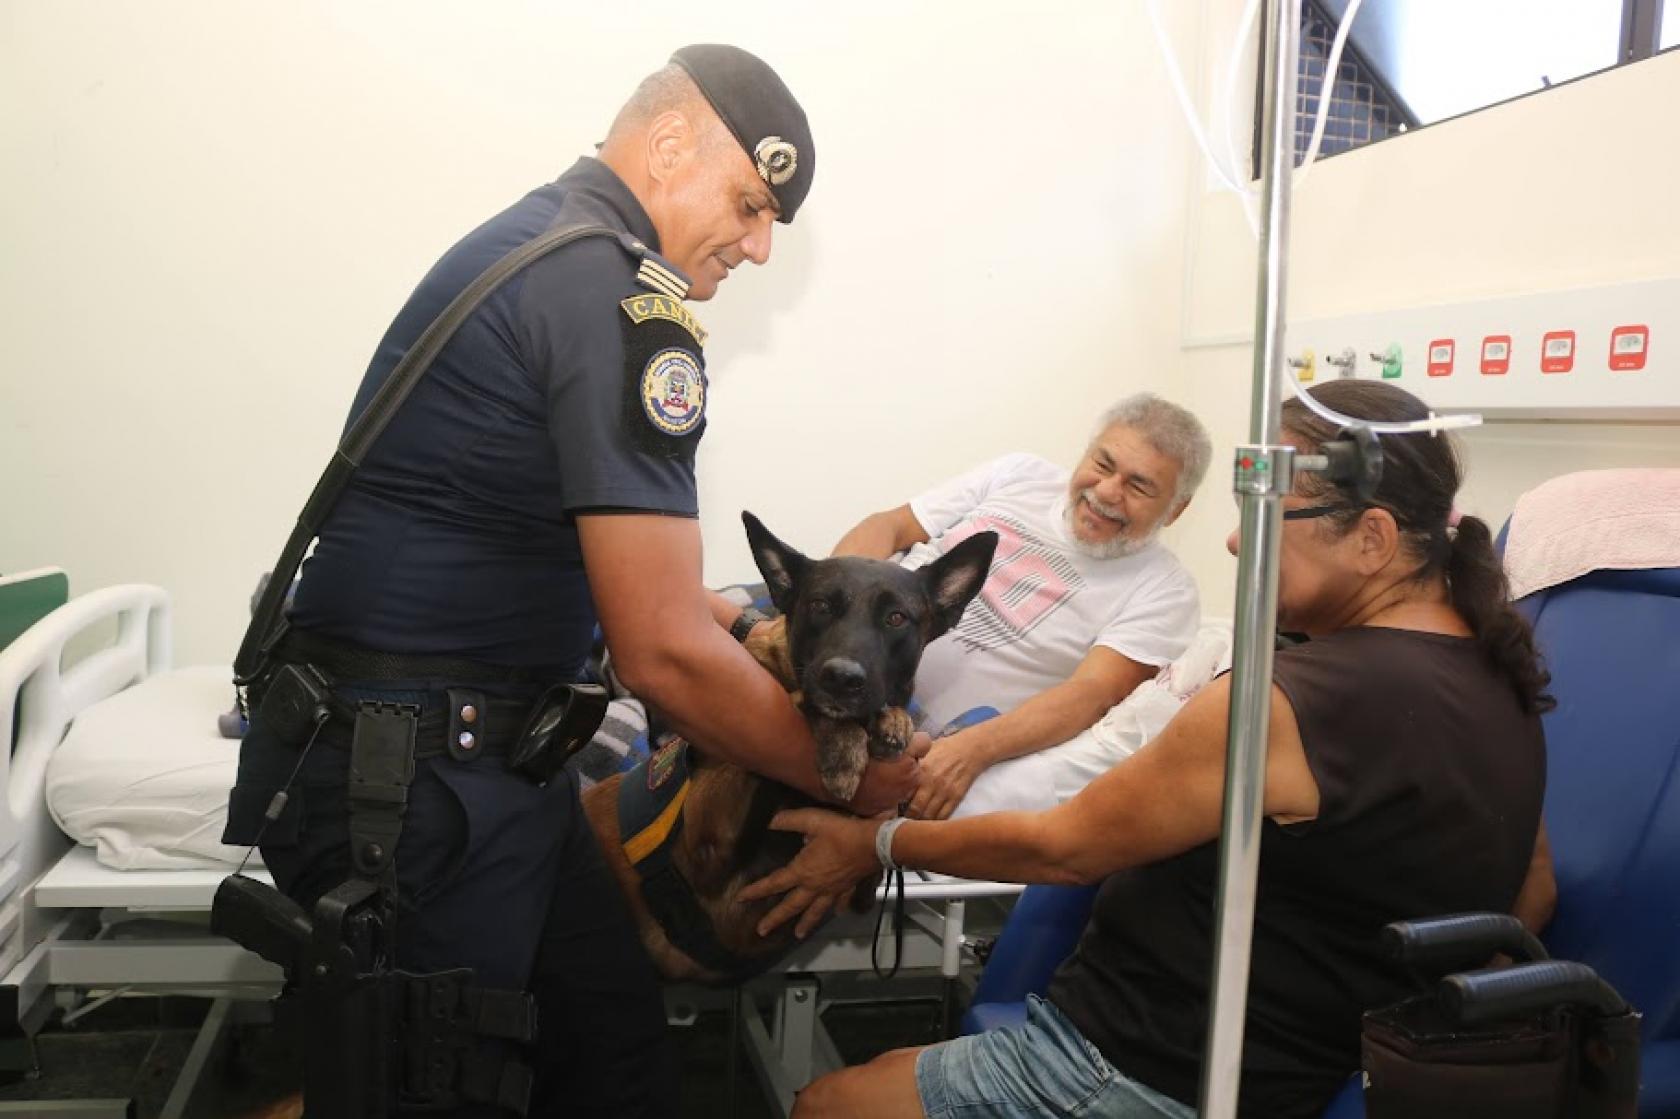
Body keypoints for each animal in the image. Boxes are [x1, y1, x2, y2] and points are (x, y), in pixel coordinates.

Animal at [581, 510, 994, 981]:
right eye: (820, 606)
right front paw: (841, 739)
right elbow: (795, 715)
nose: (841, 679)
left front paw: (891, 721)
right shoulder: (705, 842)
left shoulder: (861, 887)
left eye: (896, 618)